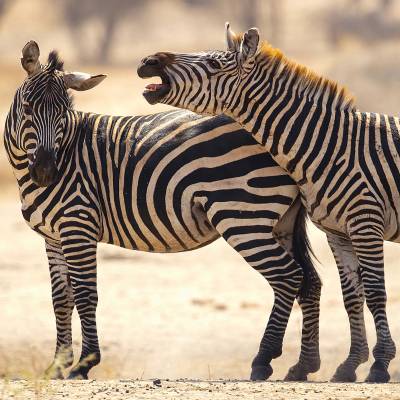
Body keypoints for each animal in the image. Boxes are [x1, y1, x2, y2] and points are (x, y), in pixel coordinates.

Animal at [2, 40, 322, 382]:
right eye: (27, 109)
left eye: (63, 113)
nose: (46, 172)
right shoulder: (53, 235)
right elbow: (62, 298)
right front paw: (57, 366)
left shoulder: (79, 224)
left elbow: (86, 294)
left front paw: (84, 364)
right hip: (280, 221)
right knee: (309, 280)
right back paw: (304, 365)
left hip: (243, 216)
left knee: (288, 277)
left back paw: (263, 359)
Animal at [138, 24, 400, 382]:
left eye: (214, 64)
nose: (148, 61)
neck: (331, 147)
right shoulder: (337, 231)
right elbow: (352, 296)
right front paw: (349, 365)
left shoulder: (365, 221)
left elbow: (374, 291)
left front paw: (380, 364)